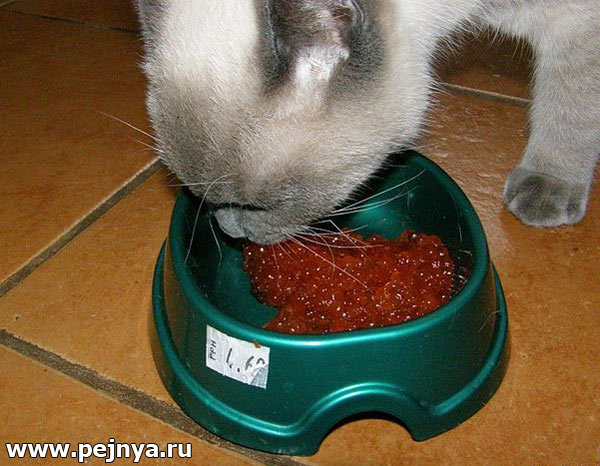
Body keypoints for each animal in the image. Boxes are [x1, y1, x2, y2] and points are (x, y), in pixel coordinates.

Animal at [135, 0, 599, 244]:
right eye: (202, 199)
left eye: (262, 205)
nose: (231, 231)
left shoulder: (576, 20)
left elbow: (571, 105)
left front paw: (548, 187)